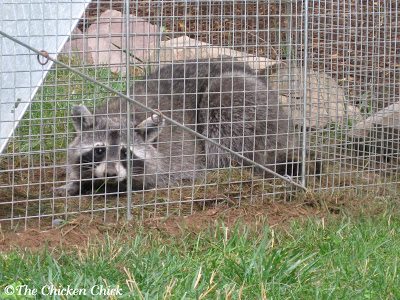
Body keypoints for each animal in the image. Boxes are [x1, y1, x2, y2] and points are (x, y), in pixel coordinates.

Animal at [58, 59, 304, 196]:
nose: (110, 173)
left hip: (248, 106)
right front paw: (75, 182)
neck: (120, 114)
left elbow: (167, 175)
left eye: (125, 152)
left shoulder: (177, 153)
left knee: (224, 110)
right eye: (99, 150)